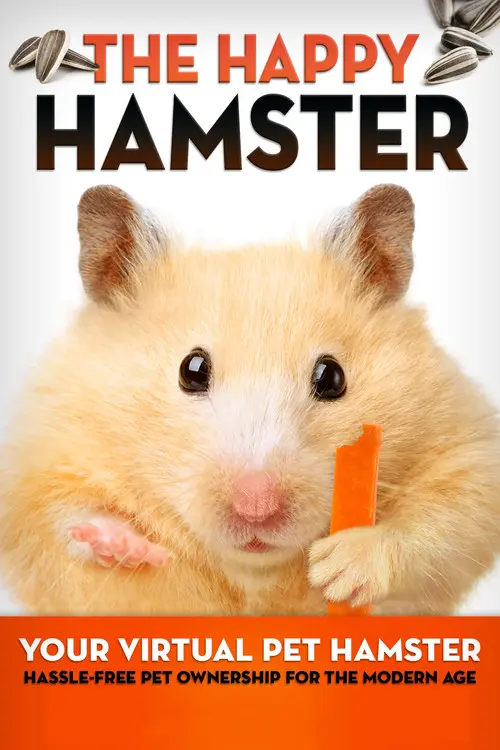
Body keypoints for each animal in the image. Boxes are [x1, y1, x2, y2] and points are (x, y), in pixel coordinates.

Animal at [1, 183, 500, 616]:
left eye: (331, 376)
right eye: (191, 370)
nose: (257, 507)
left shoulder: (469, 450)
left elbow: (441, 519)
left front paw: (336, 570)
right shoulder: (34, 464)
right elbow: (59, 514)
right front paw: (129, 545)